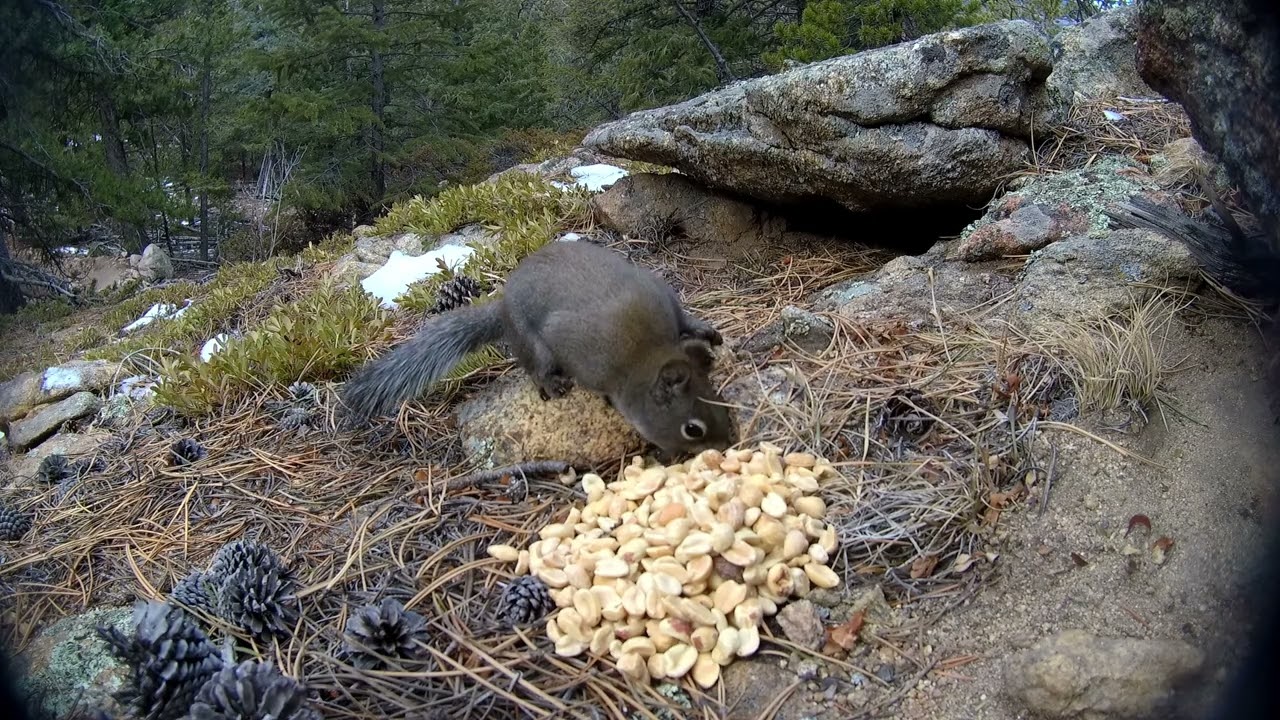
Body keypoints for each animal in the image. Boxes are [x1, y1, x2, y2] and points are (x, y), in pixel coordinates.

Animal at [338, 239, 736, 458]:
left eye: (723, 403)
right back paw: (550, 383)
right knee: (534, 366)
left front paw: (702, 330)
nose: (727, 445)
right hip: (533, 345)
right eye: (693, 429)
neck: (645, 354)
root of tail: (502, 308)